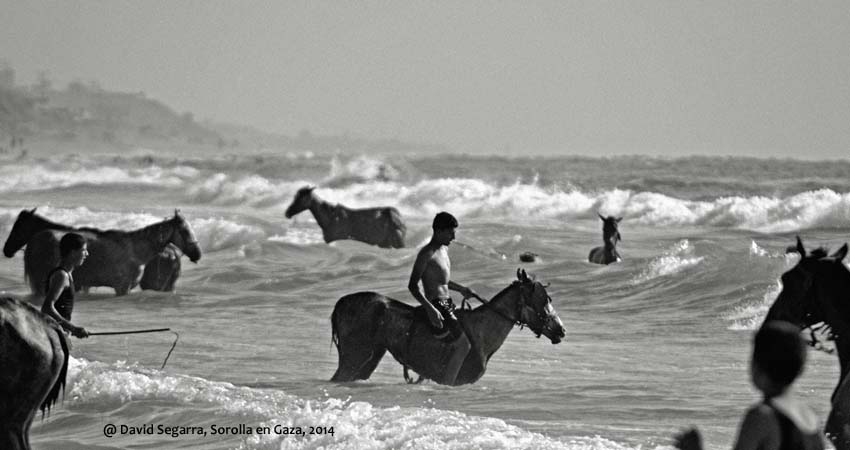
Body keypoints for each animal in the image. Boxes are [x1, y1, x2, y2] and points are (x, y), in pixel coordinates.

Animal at [330, 269, 565, 386]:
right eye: (543, 300)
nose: (561, 330)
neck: (481, 332)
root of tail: (340, 303)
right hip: (354, 357)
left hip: (368, 359)